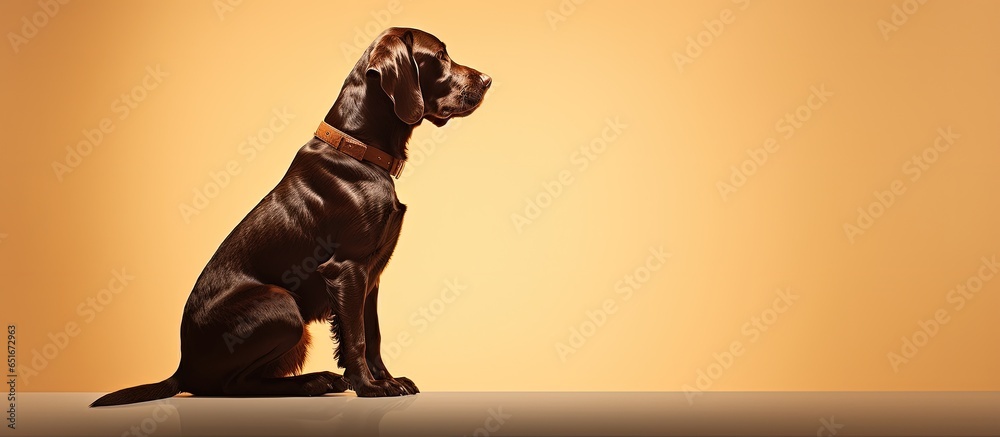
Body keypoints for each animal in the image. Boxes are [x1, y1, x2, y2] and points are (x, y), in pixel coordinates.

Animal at [92, 27, 490, 406]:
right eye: (440, 56)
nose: (487, 79)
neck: (359, 150)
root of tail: (181, 368)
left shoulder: (371, 275)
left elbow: (372, 334)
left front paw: (386, 379)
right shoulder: (347, 268)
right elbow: (357, 338)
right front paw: (370, 388)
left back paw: (321, 380)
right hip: (281, 304)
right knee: (232, 385)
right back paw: (313, 383)